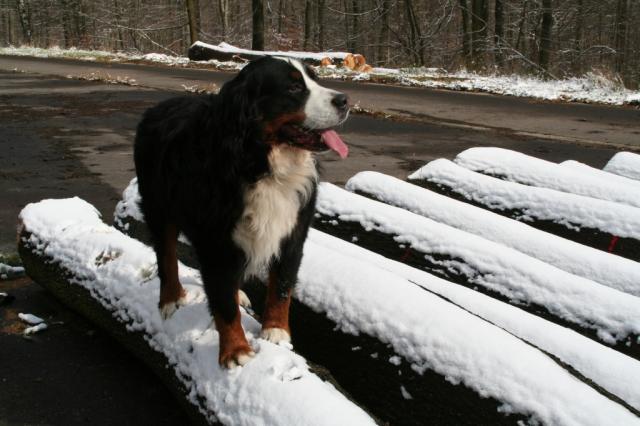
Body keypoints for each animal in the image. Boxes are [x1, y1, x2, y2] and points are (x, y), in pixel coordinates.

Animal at [134, 55, 350, 370]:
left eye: (314, 78)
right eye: (294, 88)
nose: (344, 100)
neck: (262, 164)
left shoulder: (293, 232)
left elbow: (281, 286)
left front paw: (276, 331)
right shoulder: (216, 242)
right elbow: (223, 304)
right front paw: (235, 351)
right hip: (159, 209)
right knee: (167, 256)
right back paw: (171, 299)